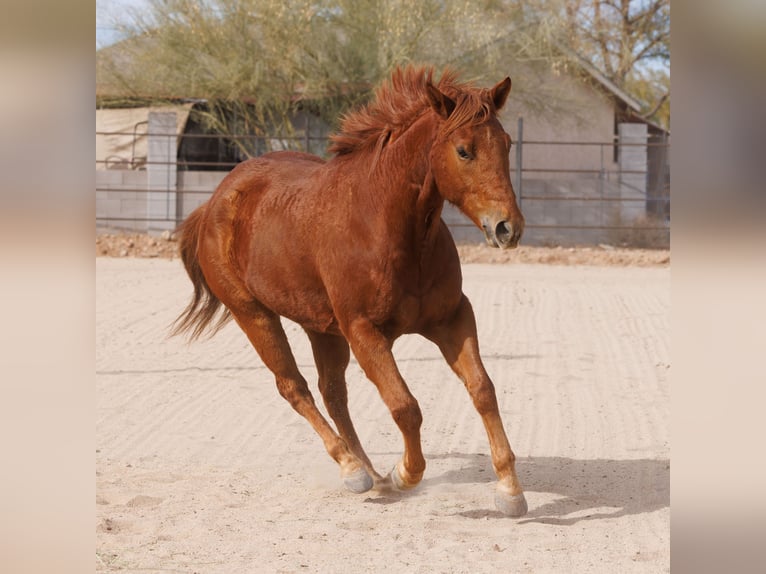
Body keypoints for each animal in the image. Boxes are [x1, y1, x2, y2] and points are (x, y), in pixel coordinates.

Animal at [170, 65, 528, 520]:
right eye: (464, 151)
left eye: (507, 144)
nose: (508, 227)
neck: (391, 228)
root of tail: (215, 202)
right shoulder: (364, 331)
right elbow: (405, 406)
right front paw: (404, 473)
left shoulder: (452, 318)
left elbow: (483, 390)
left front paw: (510, 490)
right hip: (254, 315)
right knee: (295, 387)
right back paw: (354, 470)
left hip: (321, 328)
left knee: (332, 393)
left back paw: (368, 470)